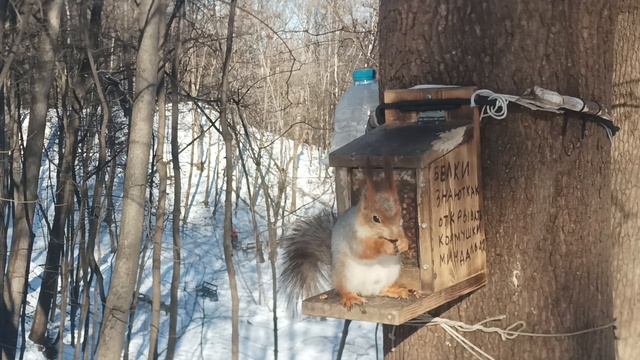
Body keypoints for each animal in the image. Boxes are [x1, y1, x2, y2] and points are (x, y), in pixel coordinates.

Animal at [282, 162, 412, 310]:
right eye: (375, 218)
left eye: (400, 213)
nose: (394, 235)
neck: (374, 233)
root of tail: (366, 291)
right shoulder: (352, 235)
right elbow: (364, 250)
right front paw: (385, 245)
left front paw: (403, 242)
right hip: (344, 274)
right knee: (344, 290)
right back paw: (350, 297)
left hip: (391, 273)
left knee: (381, 290)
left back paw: (395, 290)